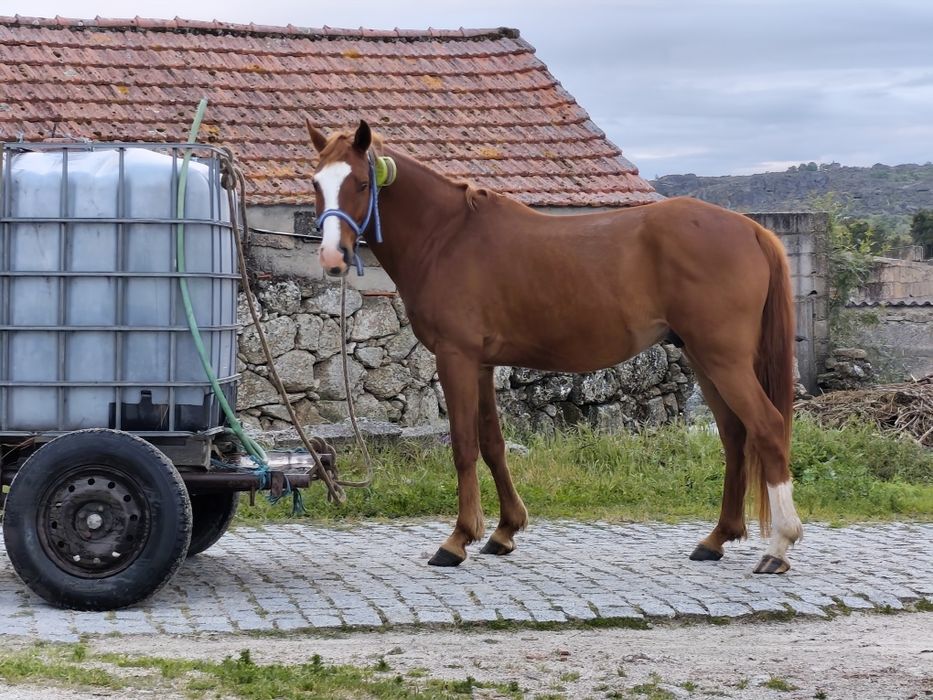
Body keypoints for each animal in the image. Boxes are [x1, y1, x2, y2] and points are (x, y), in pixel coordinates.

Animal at [305, 119, 803, 575]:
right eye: (315, 182)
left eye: (362, 183)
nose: (331, 257)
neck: (447, 237)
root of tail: (751, 230)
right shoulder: (481, 364)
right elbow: (493, 444)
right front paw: (504, 530)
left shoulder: (456, 357)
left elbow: (464, 445)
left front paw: (458, 538)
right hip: (704, 359)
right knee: (735, 436)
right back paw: (717, 538)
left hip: (723, 359)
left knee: (767, 427)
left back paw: (779, 546)